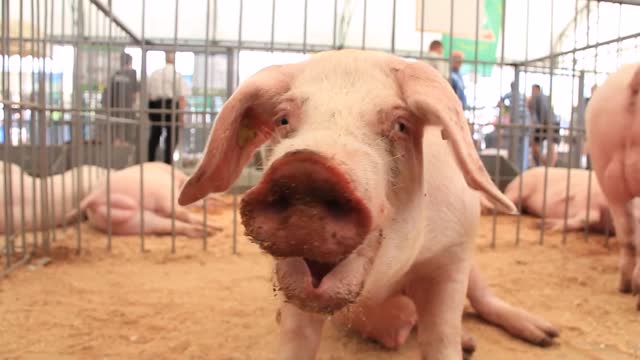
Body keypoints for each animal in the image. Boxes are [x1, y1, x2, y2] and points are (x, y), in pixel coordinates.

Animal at [68, 162, 222, 238]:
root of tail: (97, 195)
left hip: (132, 223)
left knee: (168, 224)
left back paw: (208, 231)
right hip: (160, 192)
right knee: (177, 212)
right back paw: (216, 227)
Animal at [178, 50, 556, 358]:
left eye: (401, 124)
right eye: (283, 119)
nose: (306, 169)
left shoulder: (454, 253)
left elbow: (441, 337)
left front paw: (459, 345)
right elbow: (295, 340)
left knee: (483, 300)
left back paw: (542, 336)